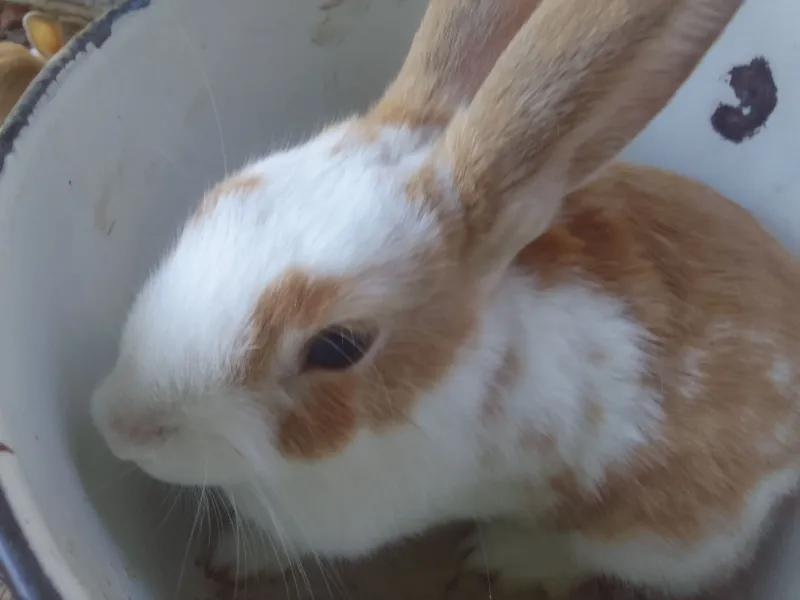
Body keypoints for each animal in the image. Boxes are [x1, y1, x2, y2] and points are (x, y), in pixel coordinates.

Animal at [88, 0, 800, 596]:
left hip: (658, 537)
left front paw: (233, 558)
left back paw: (505, 557)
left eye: (338, 346)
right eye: (219, 197)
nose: (119, 426)